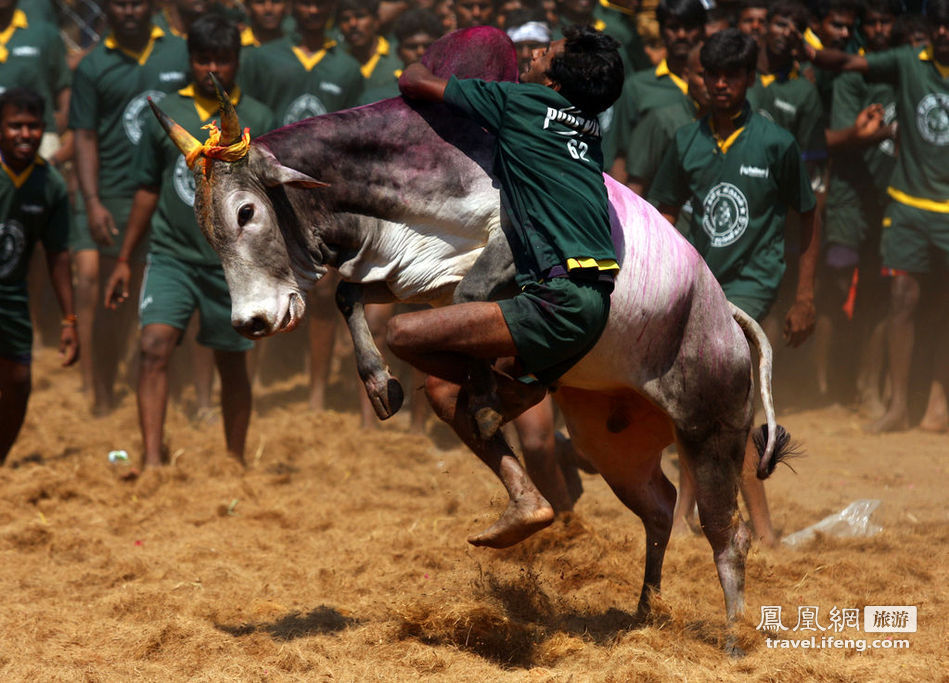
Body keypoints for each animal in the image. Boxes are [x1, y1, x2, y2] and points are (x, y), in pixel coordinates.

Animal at [152, 28, 792, 648]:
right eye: (207, 225)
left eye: (246, 211)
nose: (251, 322)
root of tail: (726, 315)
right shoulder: (411, 272)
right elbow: (351, 297)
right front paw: (381, 384)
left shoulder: (501, 240)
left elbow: (467, 300)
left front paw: (491, 394)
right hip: (614, 443)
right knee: (658, 509)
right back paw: (639, 611)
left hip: (709, 430)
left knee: (725, 533)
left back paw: (734, 639)